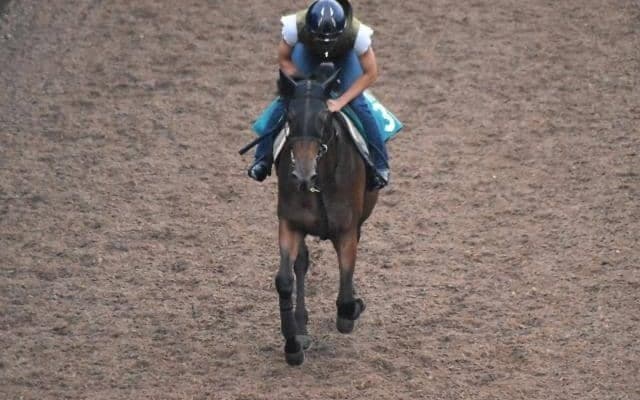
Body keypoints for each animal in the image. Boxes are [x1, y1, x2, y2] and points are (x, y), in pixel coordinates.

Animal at [272, 65, 379, 365]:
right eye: (290, 117)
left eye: (323, 117)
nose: (302, 175)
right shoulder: (290, 223)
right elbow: (285, 280)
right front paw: (293, 344)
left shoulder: (347, 230)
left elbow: (345, 288)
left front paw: (352, 309)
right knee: (301, 264)